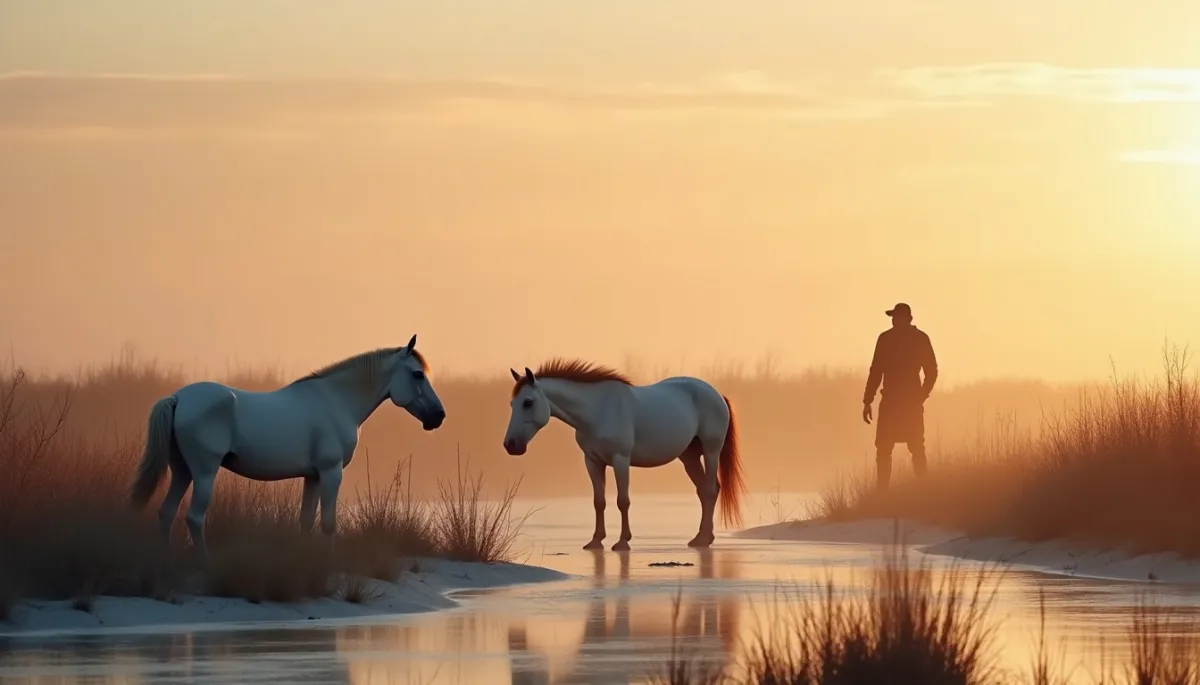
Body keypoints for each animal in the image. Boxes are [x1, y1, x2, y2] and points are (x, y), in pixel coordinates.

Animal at [127, 335, 446, 559]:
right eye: (417, 374)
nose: (439, 416)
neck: (337, 401)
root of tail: (178, 398)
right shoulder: (331, 472)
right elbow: (328, 522)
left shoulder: (313, 476)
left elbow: (306, 521)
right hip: (204, 473)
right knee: (194, 517)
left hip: (182, 471)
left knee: (166, 513)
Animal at [502, 359, 746, 551]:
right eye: (512, 403)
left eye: (528, 402)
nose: (510, 445)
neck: (597, 411)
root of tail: (716, 394)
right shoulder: (592, 462)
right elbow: (599, 501)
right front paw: (595, 541)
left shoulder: (620, 460)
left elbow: (623, 501)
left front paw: (622, 542)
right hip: (689, 456)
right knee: (703, 490)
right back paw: (700, 538)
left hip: (711, 450)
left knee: (710, 490)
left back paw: (705, 539)